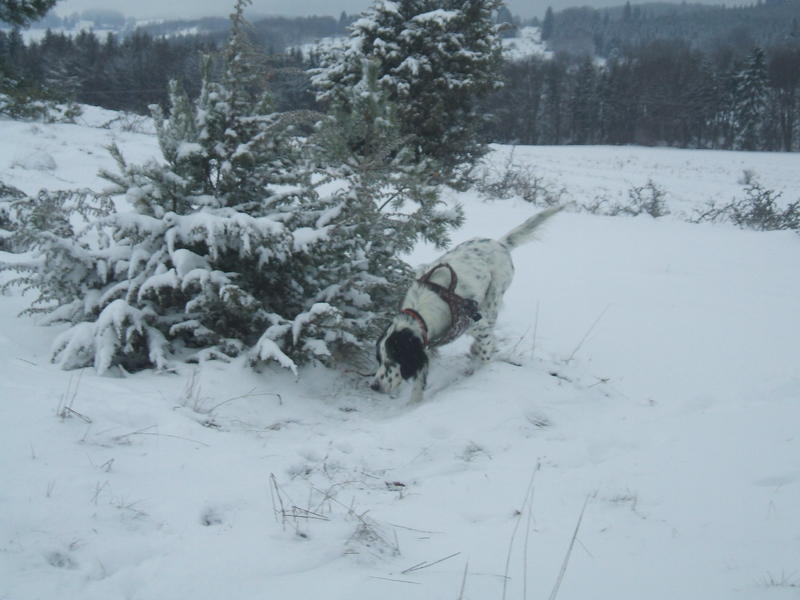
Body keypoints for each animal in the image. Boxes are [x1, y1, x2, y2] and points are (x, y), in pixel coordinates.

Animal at [370, 205, 564, 404]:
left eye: (393, 360)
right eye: (379, 359)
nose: (374, 386)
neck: (422, 309)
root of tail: (499, 244)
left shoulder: (477, 324)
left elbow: (486, 353)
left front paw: (485, 372)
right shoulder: (425, 342)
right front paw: (414, 403)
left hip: (493, 299)